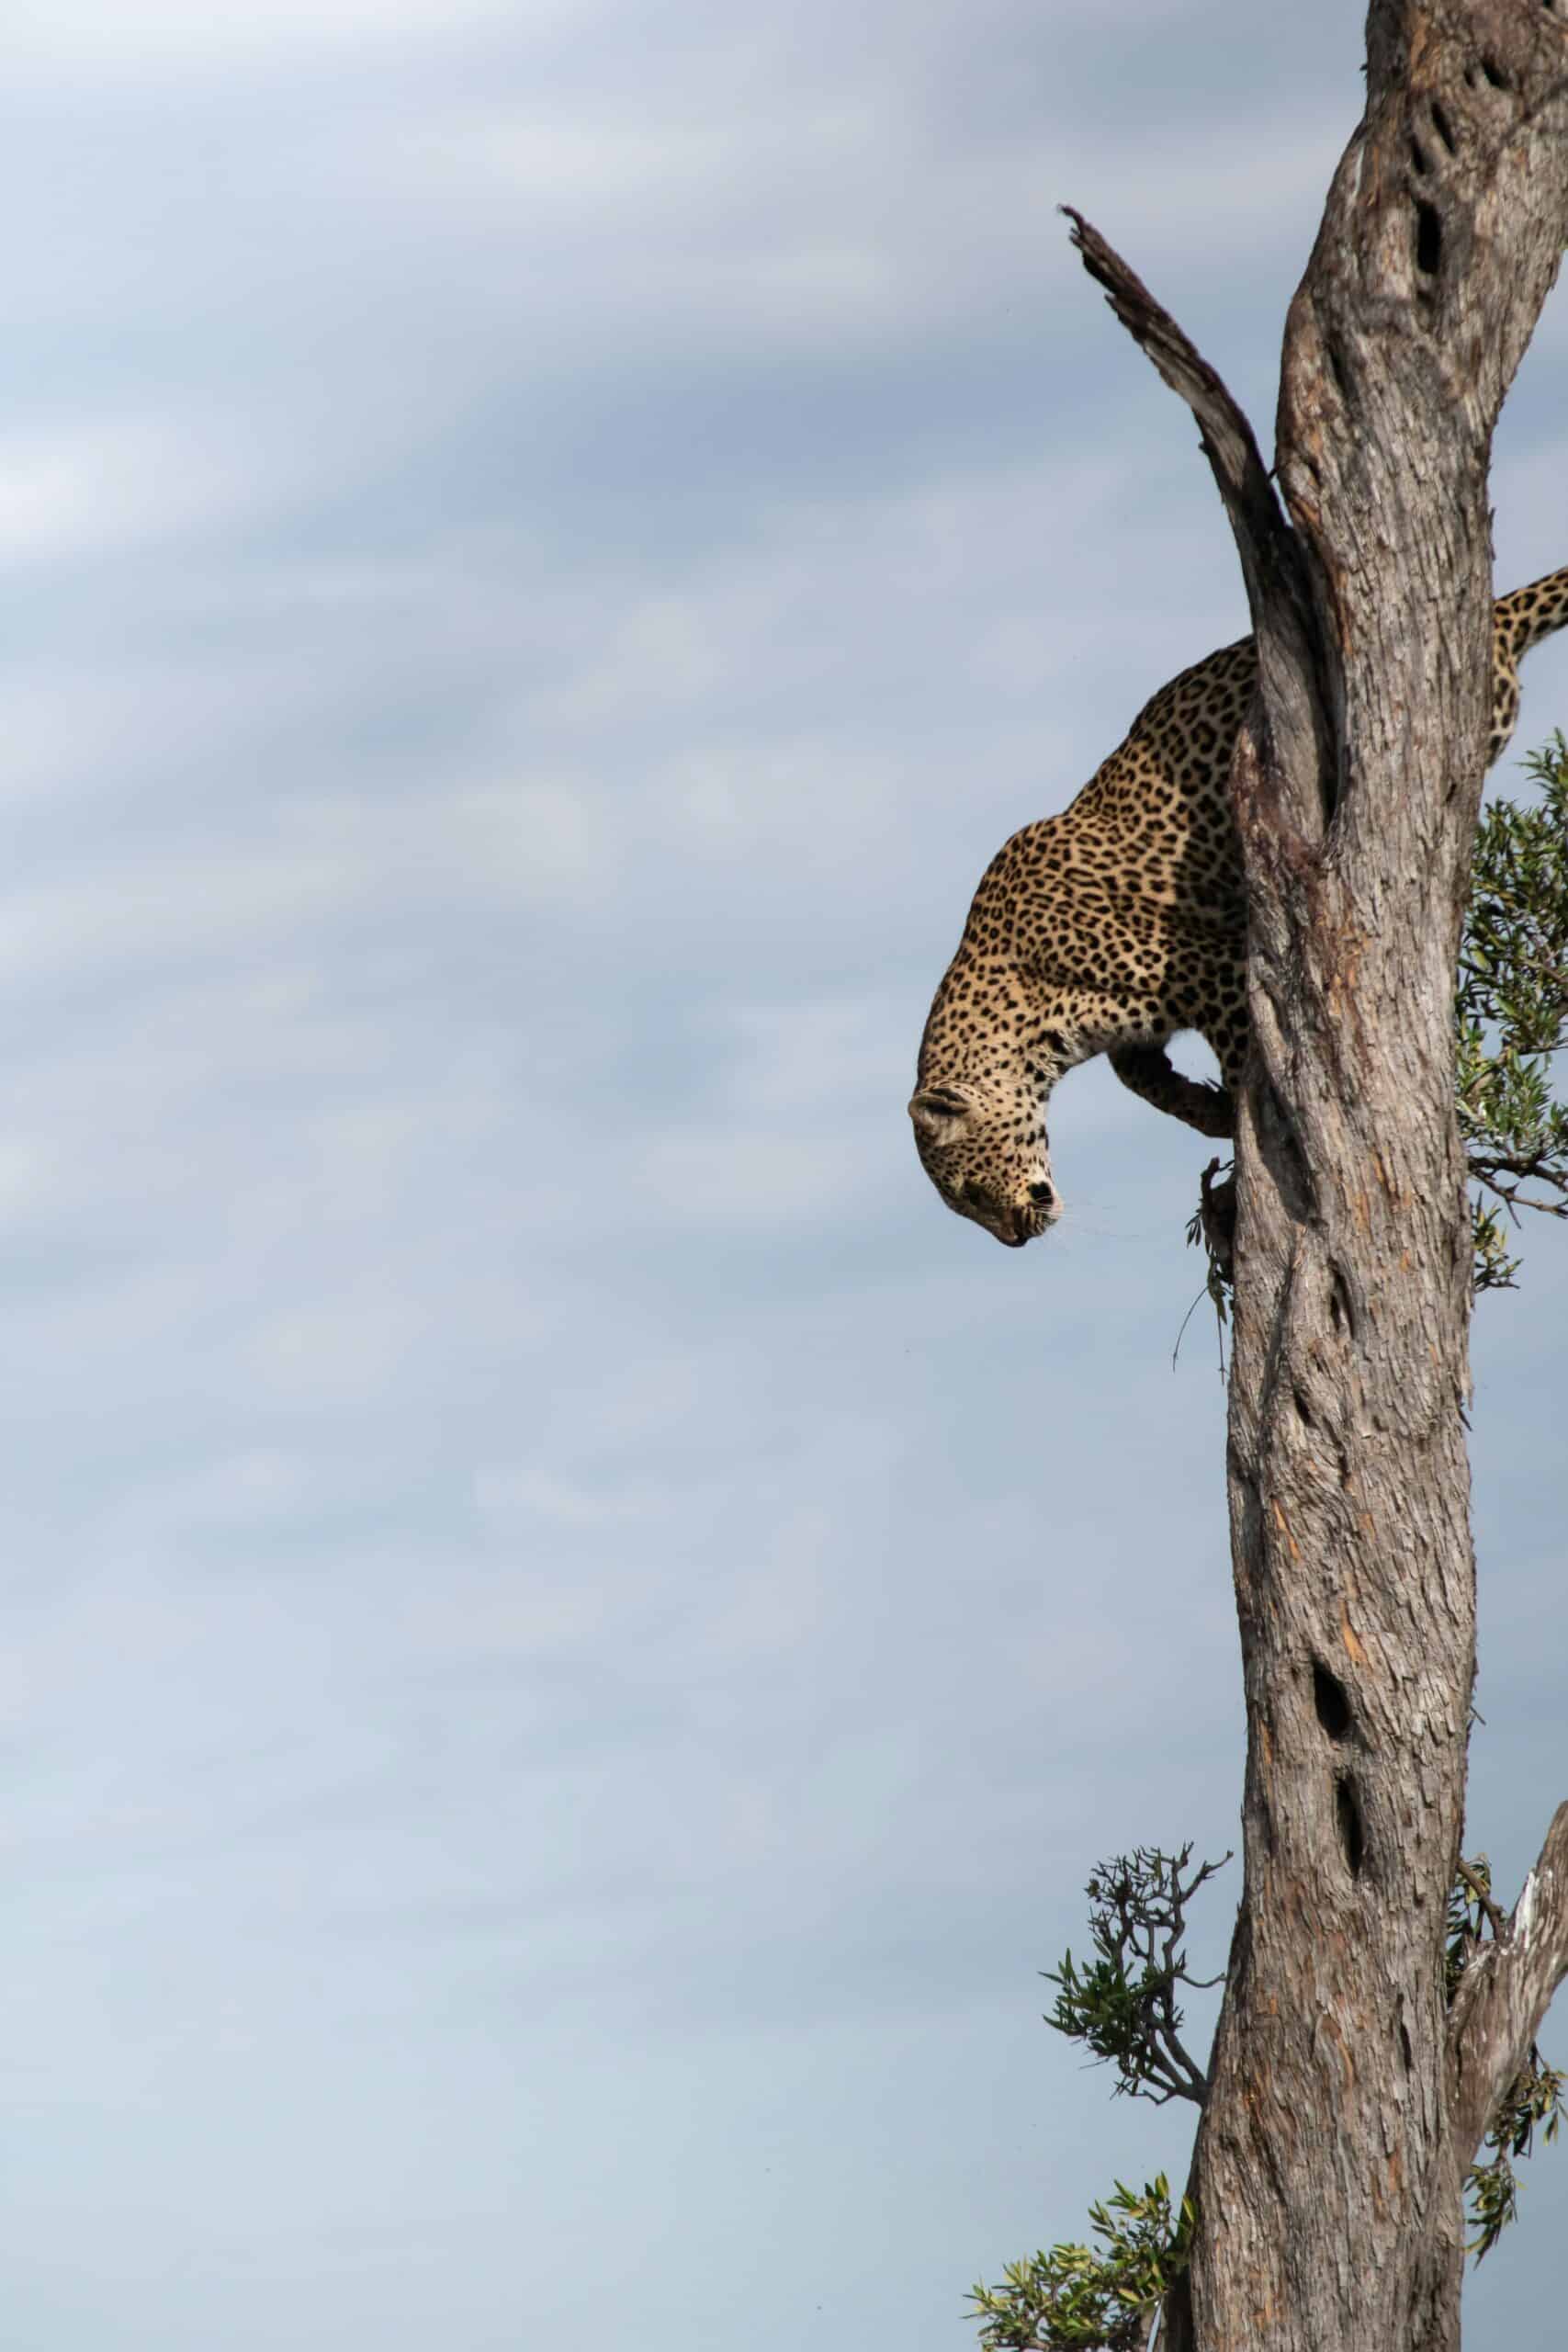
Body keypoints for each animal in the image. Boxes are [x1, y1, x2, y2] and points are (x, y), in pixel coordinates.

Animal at [910, 568, 1568, 1249]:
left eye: (969, 1191)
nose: (1015, 1239)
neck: (1023, 1006)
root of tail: (1497, 615)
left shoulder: (1217, 966)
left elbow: (1239, 1052)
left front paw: (1243, 1126)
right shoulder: (1134, 1024)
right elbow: (1136, 1073)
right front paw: (1203, 1110)